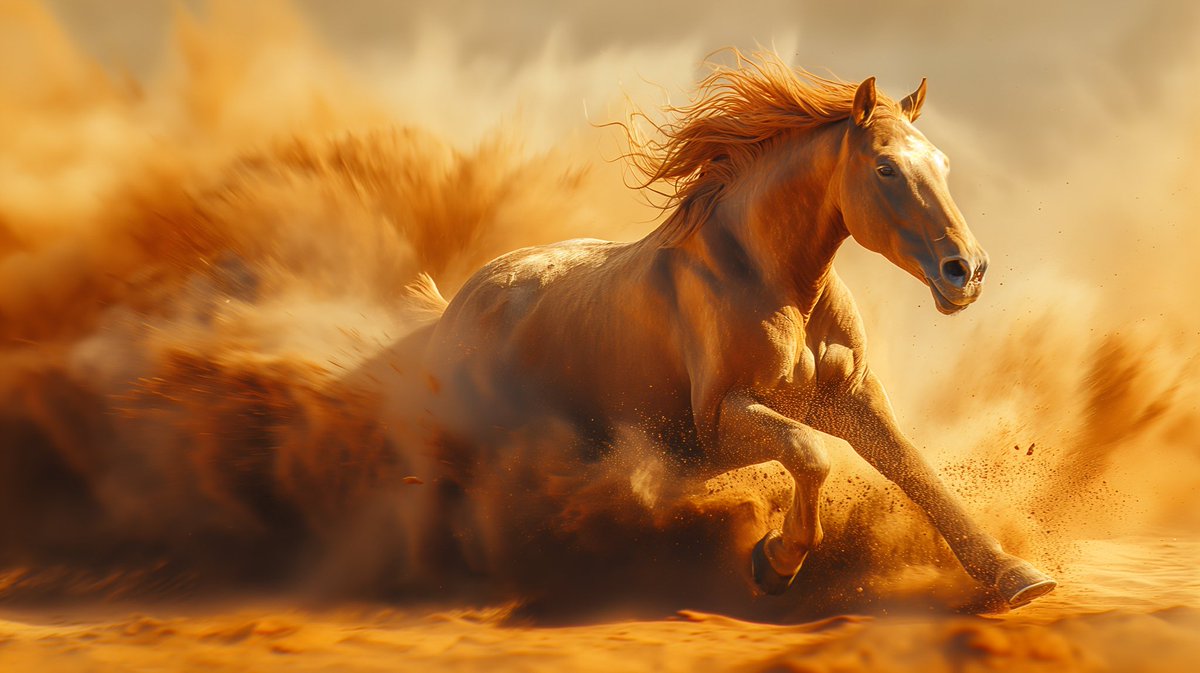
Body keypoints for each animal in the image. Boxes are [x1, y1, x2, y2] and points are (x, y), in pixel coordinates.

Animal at [407, 52, 1056, 607]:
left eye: (943, 164)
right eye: (886, 166)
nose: (966, 271)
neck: (775, 282)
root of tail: (457, 305)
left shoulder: (850, 397)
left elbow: (915, 469)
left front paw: (1018, 577)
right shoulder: (719, 421)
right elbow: (809, 453)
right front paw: (775, 562)